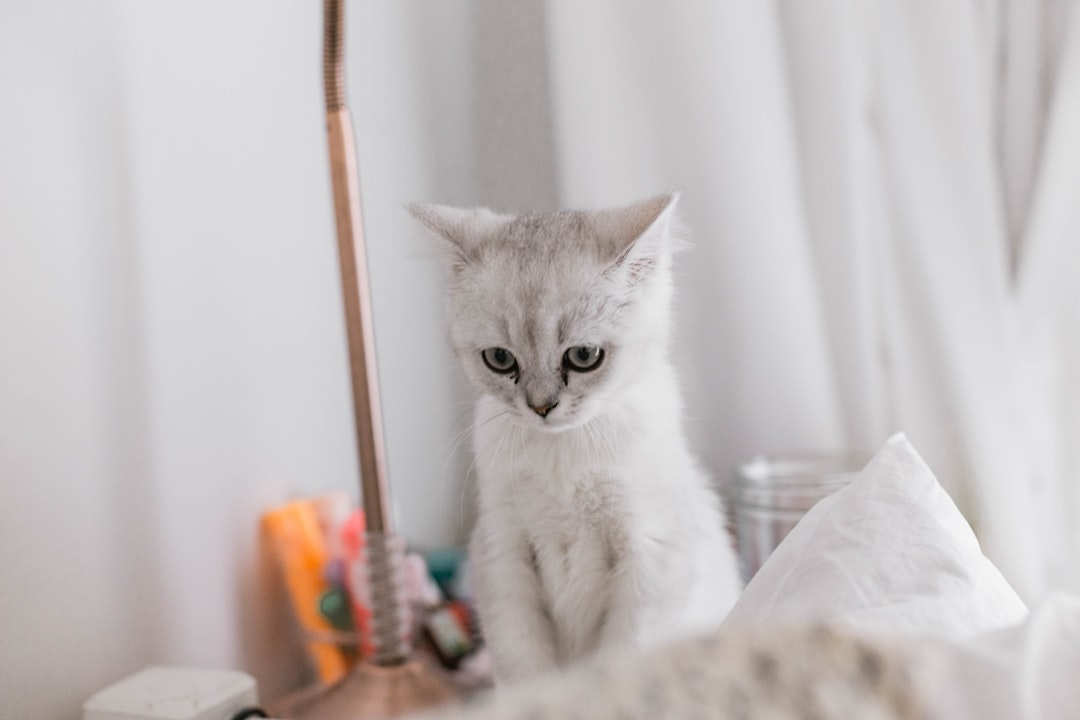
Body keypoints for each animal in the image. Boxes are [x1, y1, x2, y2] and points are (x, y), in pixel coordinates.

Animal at [406, 194, 743, 686]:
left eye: (583, 356)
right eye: (500, 359)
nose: (541, 407)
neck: (562, 454)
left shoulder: (650, 557)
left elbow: (622, 661)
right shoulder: (502, 554)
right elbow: (524, 664)